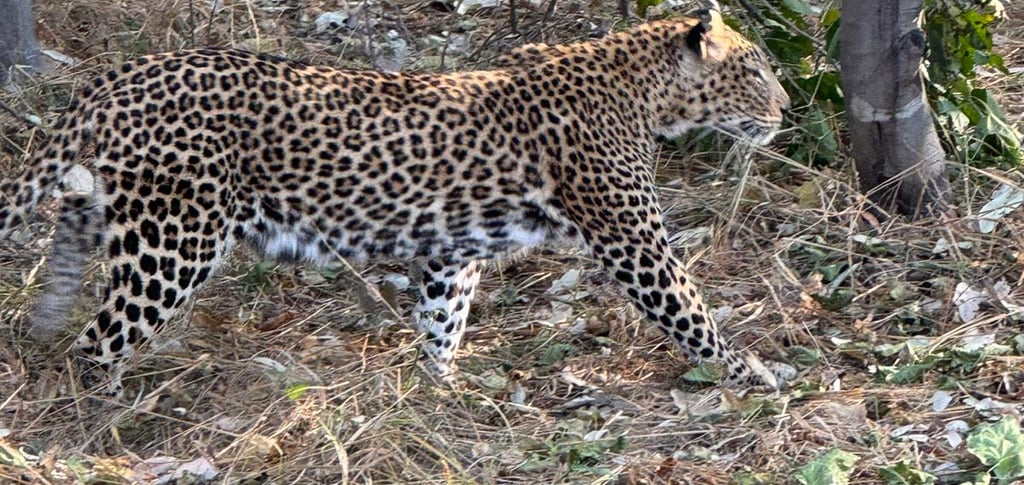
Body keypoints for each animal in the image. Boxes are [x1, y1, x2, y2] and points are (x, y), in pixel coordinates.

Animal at [0, 8, 791, 398]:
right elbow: (693, 315)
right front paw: (753, 377)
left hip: (100, 211)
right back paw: (110, 417)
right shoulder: (634, 241)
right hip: (175, 239)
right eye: (755, 70)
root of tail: (117, 76)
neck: (647, 94)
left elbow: (443, 321)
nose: (785, 108)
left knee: (67, 307)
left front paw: (443, 395)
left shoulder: (453, 250)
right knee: (100, 342)